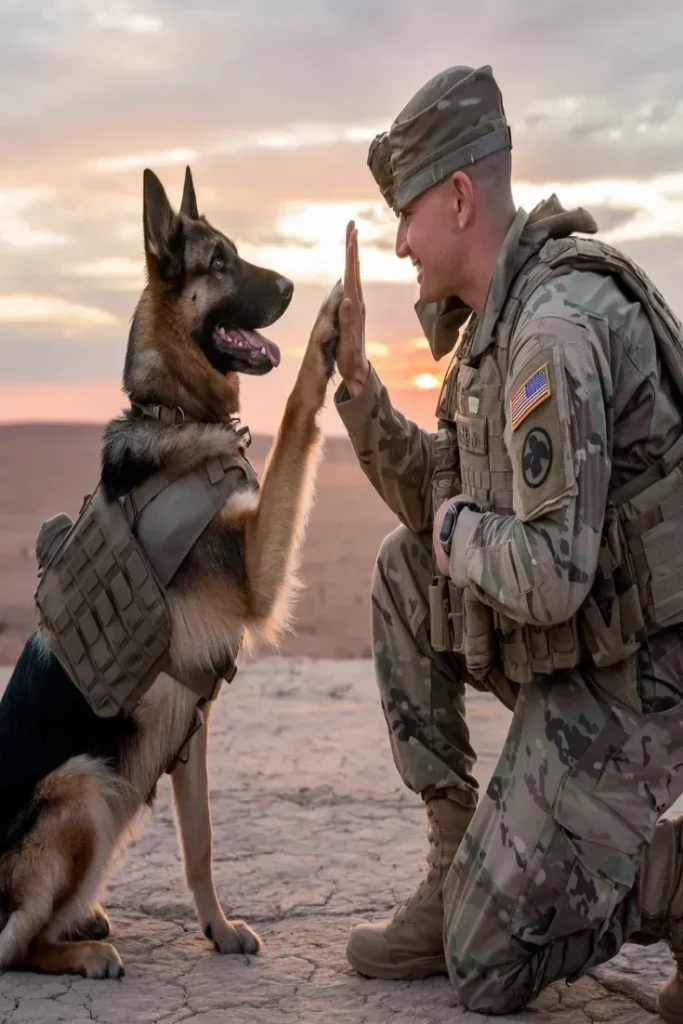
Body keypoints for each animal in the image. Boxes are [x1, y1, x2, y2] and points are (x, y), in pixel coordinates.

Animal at [0, 165, 342, 974]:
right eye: (218, 262)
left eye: (238, 251)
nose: (290, 284)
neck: (175, 414)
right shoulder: (253, 568)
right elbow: (293, 423)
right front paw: (325, 333)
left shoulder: (194, 730)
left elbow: (201, 844)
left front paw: (218, 928)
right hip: (83, 781)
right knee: (15, 948)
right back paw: (83, 952)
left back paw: (85, 919)